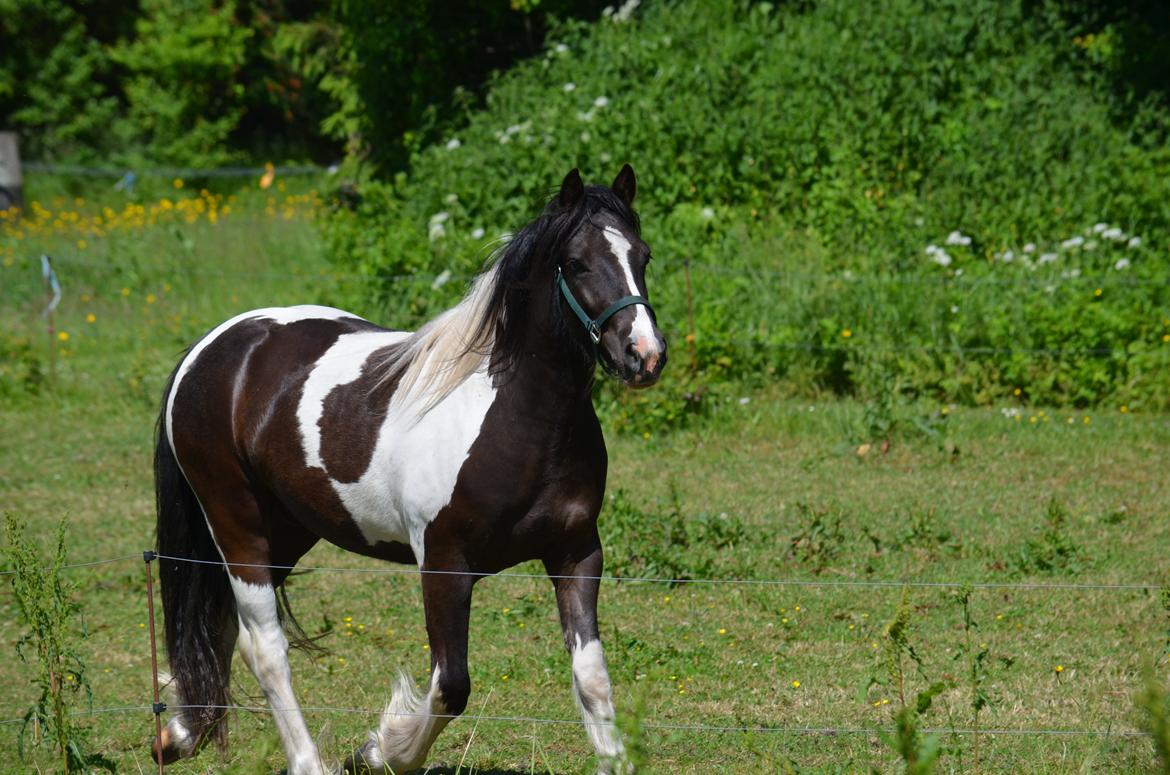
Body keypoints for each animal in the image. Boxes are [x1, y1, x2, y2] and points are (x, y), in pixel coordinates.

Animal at [153, 167, 669, 772]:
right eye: (578, 263)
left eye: (643, 256)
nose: (644, 355)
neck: (515, 419)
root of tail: (210, 348)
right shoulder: (444, 566)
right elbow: (450, 687)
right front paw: (381, 750)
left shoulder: (576, 553)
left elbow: (592, 677)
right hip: (237, 524)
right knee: (265, 648)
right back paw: (303, 759)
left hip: (287, 530)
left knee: (220, 626)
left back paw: (180, 731)